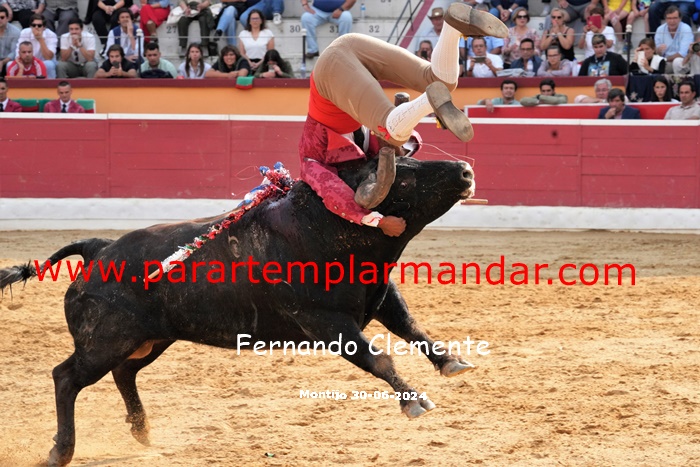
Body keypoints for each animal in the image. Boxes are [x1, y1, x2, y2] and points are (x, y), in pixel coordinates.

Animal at [0, 150, 475, 466]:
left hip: (151, 339)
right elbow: (379, 358)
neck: (321, 224)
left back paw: (142, 431)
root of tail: (98, 249)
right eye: (405, 179)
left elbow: (412, 328)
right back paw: (61, 451)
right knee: (67, 377)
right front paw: (415, 402)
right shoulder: (326, 323)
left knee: (124, 373)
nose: (466, 169)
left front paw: (451, 362)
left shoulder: (380, 295)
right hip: (105, 342)